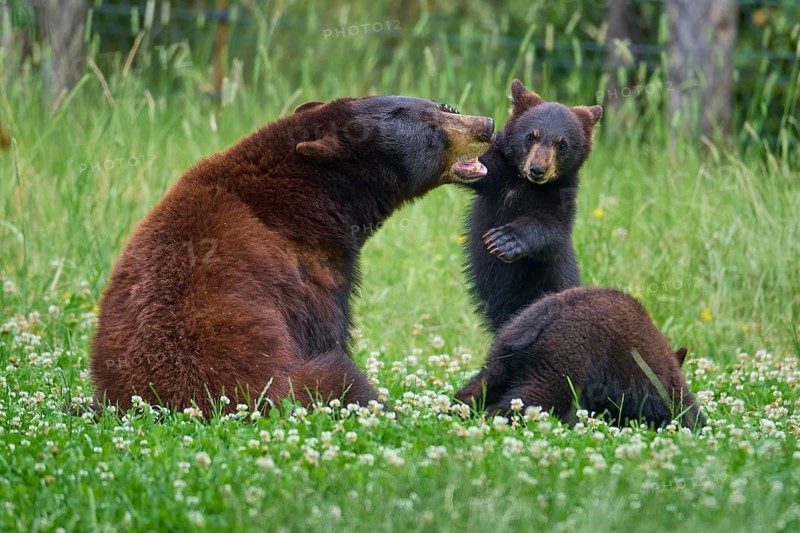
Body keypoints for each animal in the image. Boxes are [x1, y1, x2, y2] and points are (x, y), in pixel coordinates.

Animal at [90, 95, 494, 415]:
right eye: (431, 131)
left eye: (445, 107)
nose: (486, 126)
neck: (303, 199)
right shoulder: (310, 274)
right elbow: (328, 331)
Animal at [462, 80, 602, 333]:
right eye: (531, 136)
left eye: (562, 144)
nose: (538, 169)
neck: (525, 185)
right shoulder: (499, 175)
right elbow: (484, 163)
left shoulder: (560, 198)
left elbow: (550, 227)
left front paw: (503, 240)